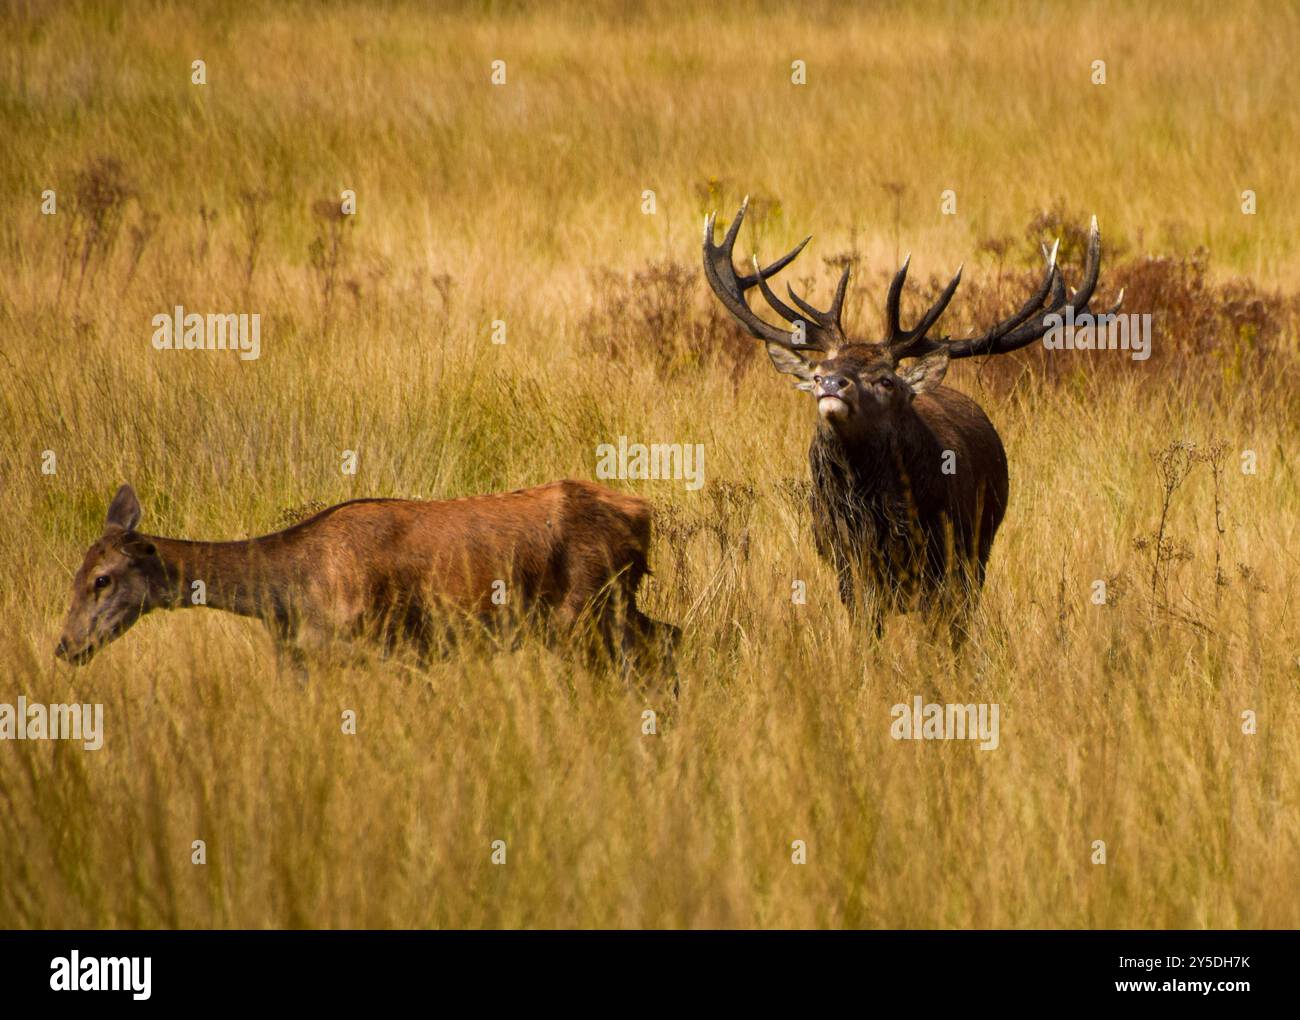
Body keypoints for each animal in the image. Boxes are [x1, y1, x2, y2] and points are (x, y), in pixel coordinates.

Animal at [54, 481, 679, 675]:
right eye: (75, 574)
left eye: (102, 579)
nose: (64, 646)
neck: (289, 595)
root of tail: (642, 512)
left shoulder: (395, 647)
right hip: (616, 608)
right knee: (671, 636)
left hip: (586, 614)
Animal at [703, 199, 1118, 644]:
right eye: (818, 372)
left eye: (885, 379)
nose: (832, 384)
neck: (878, 523)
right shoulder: (847, 565)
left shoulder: (946, 562)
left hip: (979, 550)